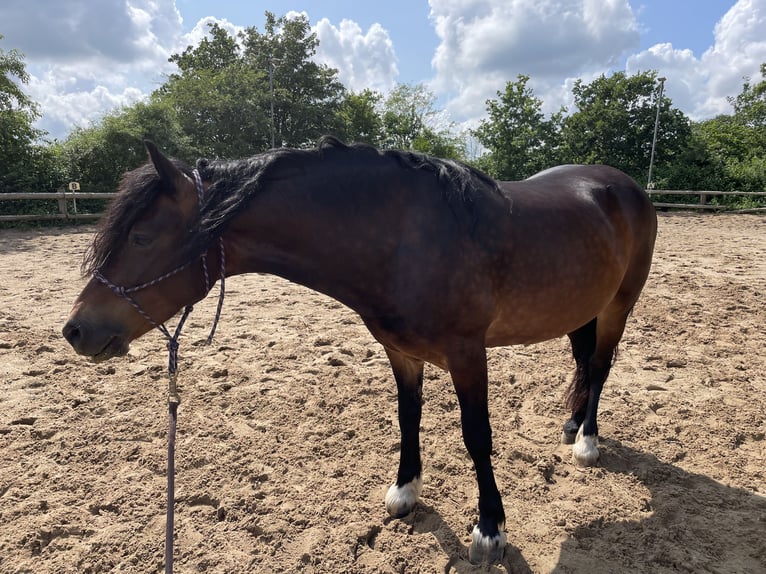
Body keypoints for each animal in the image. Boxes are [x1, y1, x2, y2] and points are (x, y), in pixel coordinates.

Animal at [61, 136, 660, 568]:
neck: (404, 239)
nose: (76, 330)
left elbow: (476, 437)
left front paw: (489, 530)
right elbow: (407, 417)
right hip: (582, 306)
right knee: (582, 362)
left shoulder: (468, 354)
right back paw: (570, 424)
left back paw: (587, 441)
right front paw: (405, 491)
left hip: (619, 305)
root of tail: (621, 185)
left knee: (600, 366)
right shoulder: (400, 352)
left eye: (142, 238)